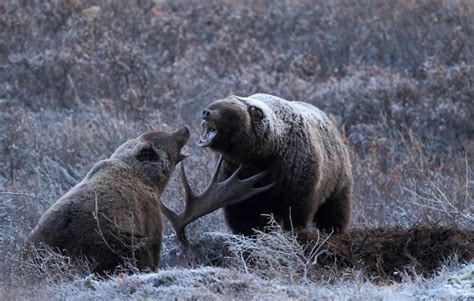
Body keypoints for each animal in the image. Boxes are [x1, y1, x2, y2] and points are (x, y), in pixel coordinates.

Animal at [197, 94, 352, 234]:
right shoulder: (232, 175)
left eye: (225, 113)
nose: (205, 112)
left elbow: (296, 212)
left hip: (337, 178)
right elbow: (241, 215)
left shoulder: (295, 171)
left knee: (335, 209)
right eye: (213, 105)